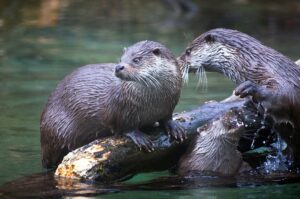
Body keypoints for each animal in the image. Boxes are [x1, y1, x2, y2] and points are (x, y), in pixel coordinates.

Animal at [39, 41, 185, 169]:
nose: (119, 67)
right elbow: (125, 127)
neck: (154, 103)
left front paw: (175, 127)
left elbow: (167, 118)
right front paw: (140, 138)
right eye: (121, 59)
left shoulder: (169, 104)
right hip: (57, 130)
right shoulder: (122, 109)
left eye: (137, 59)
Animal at [179, 27, 300, 165]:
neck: (253, 64)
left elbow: (285, 95)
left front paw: (250, 87)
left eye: (188, 51)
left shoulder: (281, 79)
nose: (178, 61)